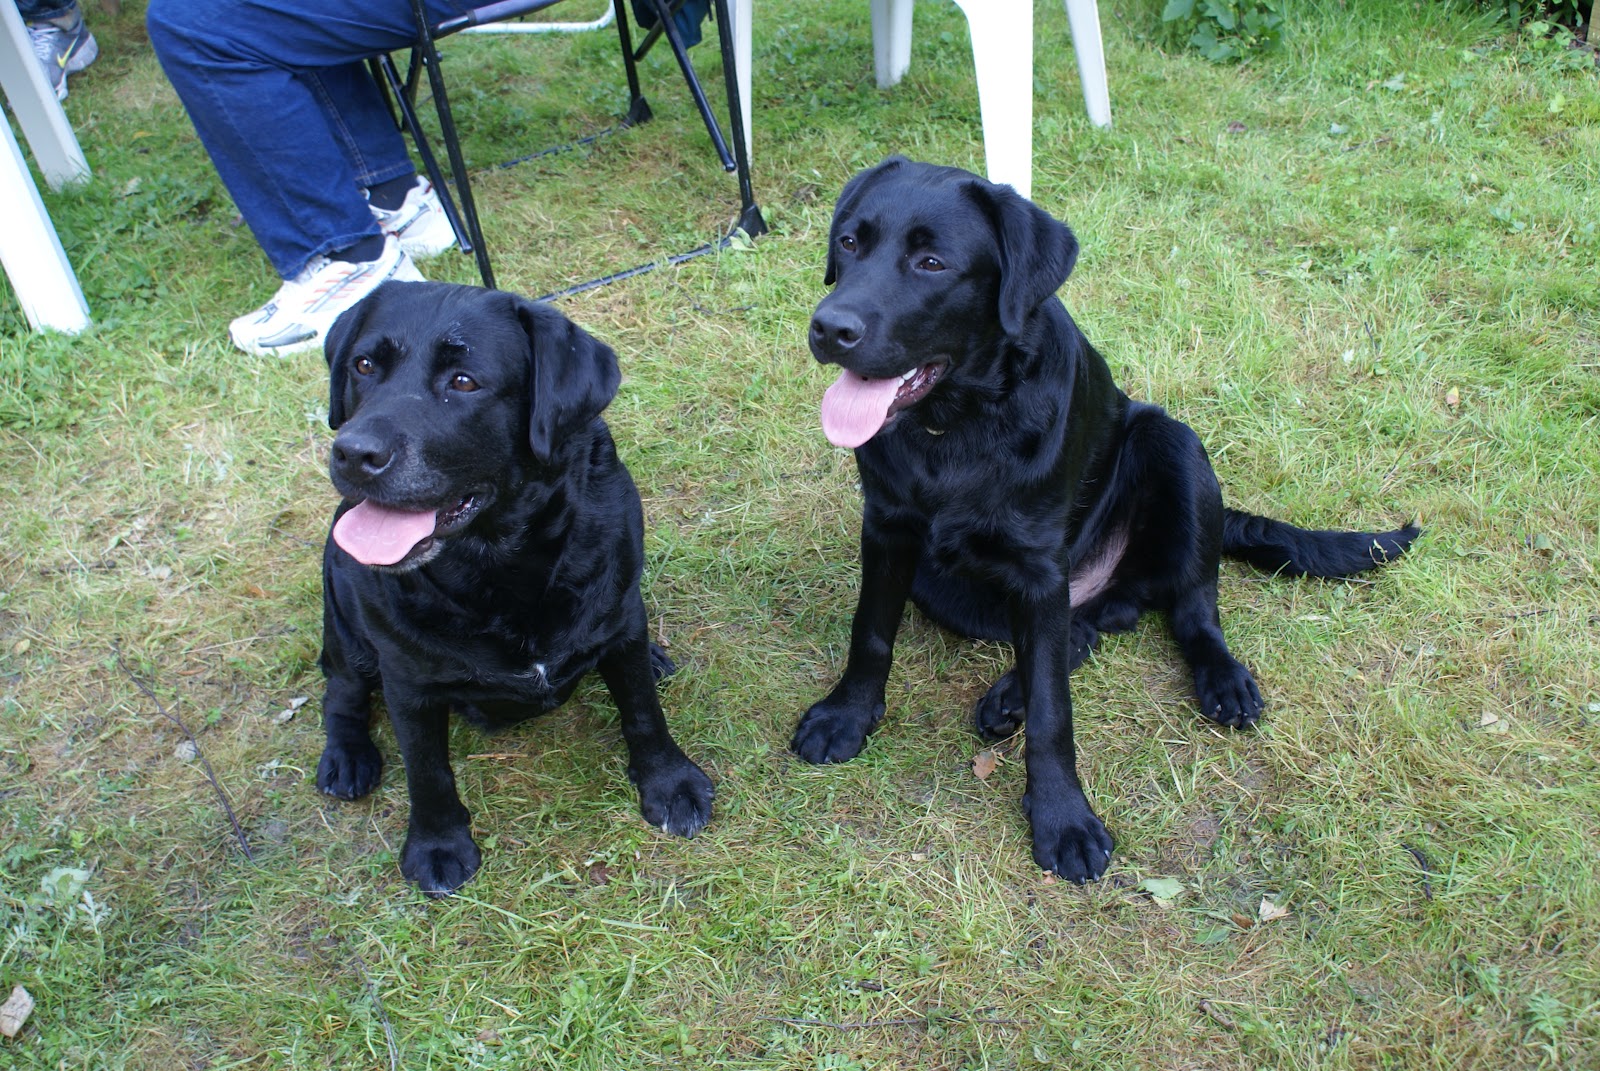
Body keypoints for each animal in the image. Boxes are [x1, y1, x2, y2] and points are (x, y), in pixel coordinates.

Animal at [313, 278, 713, 896]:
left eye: (463, 381)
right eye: (363, 365)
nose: (354, 453)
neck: (500, 564)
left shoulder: (620, 618)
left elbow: (643, 709)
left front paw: (669, 783)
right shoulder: (407, 679)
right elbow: (427, 770)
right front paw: (437, 844)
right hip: (343, 612)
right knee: (342, 687)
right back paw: (347, 756)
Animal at [793, 156, 1420, 877]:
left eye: (931, 262)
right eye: (849, 243)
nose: (829, 327)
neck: (957, 427)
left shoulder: (1041, 569)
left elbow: (1053, 710)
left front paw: (1062, 816)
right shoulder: (888, 529)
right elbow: (870, 632)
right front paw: (846, 716)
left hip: (1173, 444)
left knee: (1189, 605)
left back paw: (1220, 677)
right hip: (950, 585)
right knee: (1092, 624)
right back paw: (1018, 686)